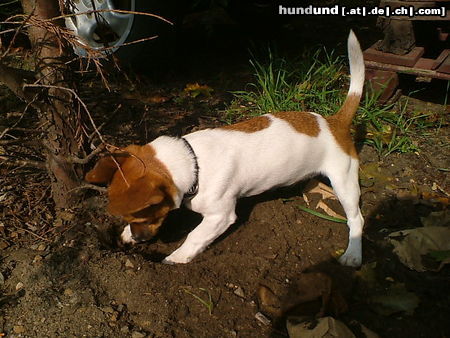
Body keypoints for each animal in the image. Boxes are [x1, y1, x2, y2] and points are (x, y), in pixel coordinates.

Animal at [85, 31, 366, 268]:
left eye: (143, 216)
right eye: (133, 219)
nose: (138, 238)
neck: (194, 162)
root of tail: (335, 122)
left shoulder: (220, 216)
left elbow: (195, 236)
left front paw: (176, 257)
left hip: (345, 182)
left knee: (356, 219)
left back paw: (353, 254)